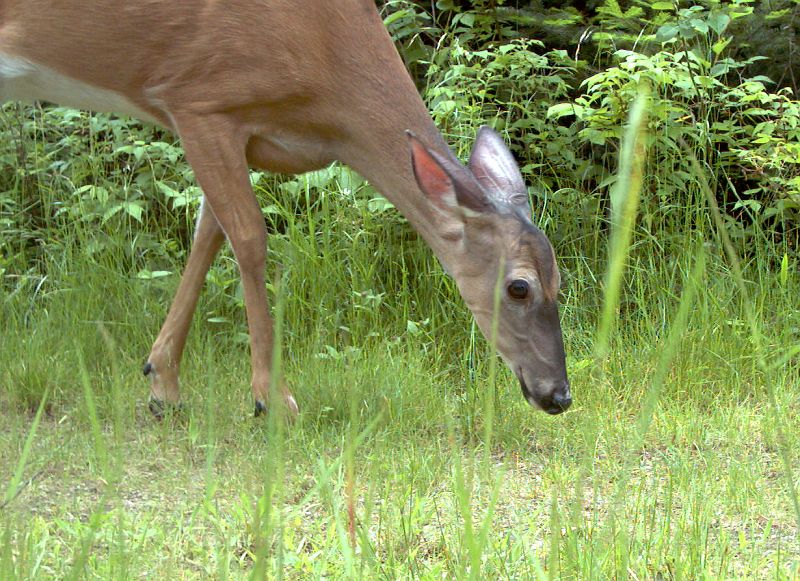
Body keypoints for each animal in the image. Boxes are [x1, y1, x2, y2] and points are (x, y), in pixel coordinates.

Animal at [1, 0, 576, 416]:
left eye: (559, 282)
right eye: (518, 287)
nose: (559, 395)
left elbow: (208, 234)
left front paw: (161, 384)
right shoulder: (200, 99)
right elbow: (249, 238)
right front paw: (271, 398)